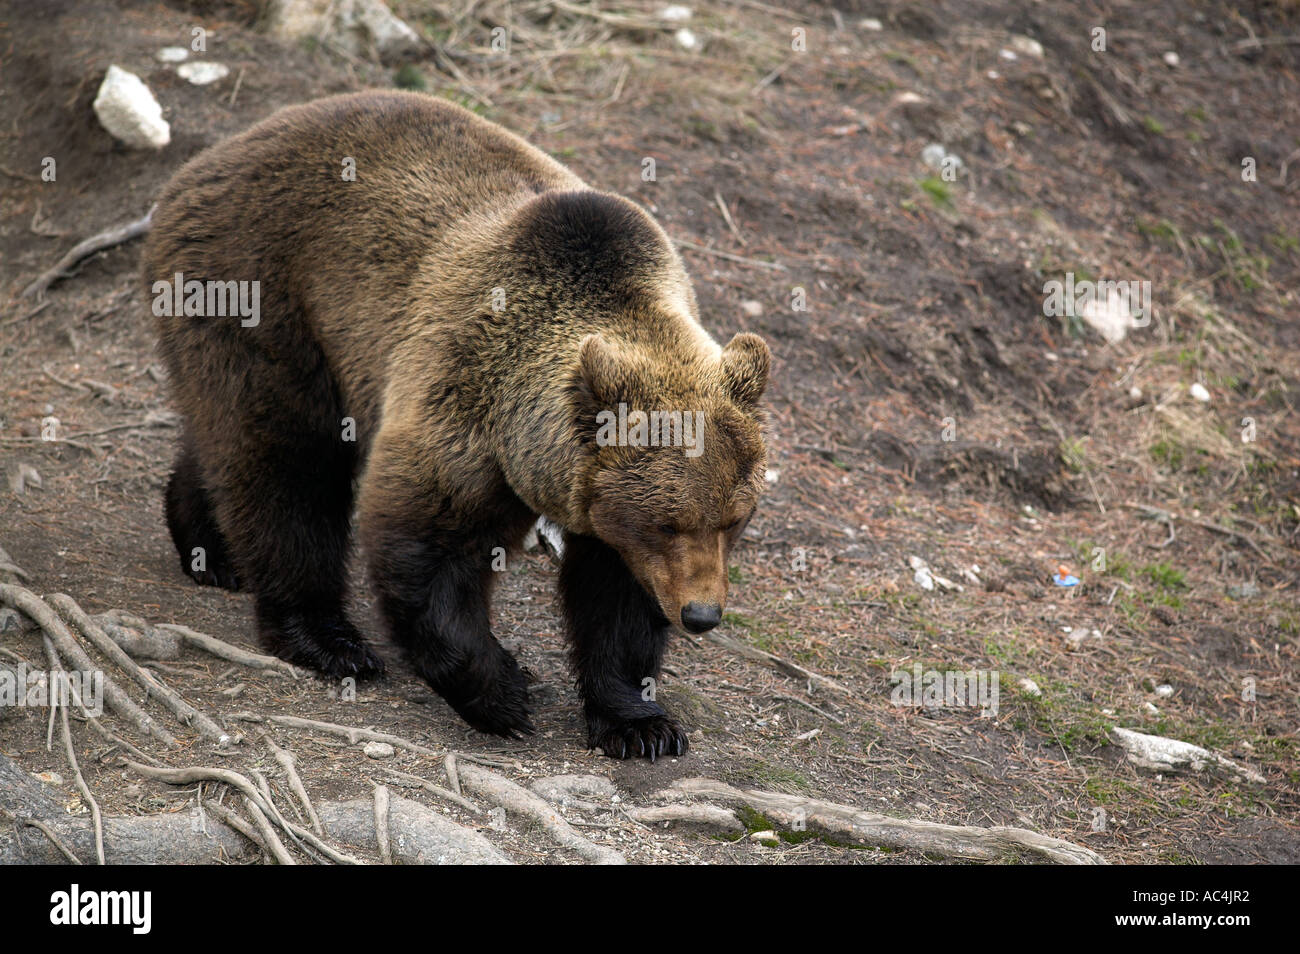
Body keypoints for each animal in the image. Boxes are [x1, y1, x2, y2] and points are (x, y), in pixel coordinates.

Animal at [145, 91, 770, 760]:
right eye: (667, 522)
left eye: (733, 520)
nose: (702, 614)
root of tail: (212, 157)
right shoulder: (462, 393)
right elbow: (427, 546)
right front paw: (504, 692)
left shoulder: (605, 507)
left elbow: (617, 594)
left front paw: (640, 723)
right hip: (260, 290)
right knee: (284, 458)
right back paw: (326, 637)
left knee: (227, 439)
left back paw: (210, 549)